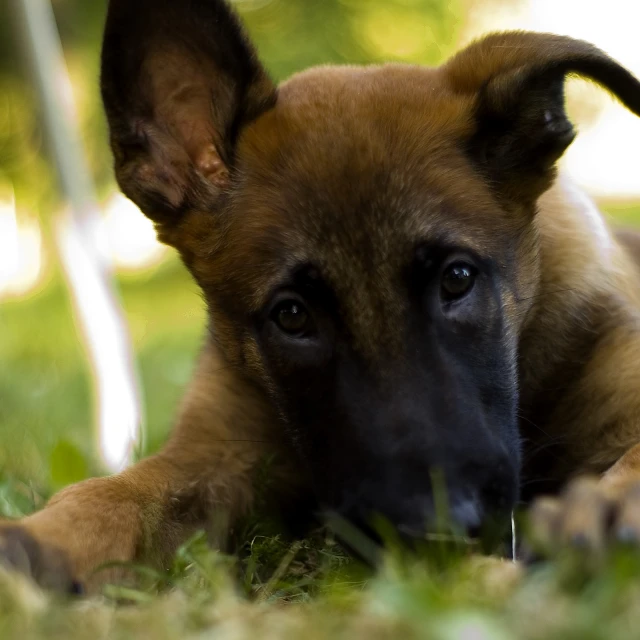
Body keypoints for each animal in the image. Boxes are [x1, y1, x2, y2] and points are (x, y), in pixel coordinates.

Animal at [1, 0, 640, 596]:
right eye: (291, 315)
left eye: (457, 279)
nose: (439, 533)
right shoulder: (213, 454)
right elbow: (120, 492)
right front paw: (46, 538)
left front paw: (610, 507)